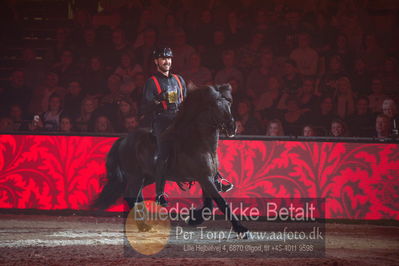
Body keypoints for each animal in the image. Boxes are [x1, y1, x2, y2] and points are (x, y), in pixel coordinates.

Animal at [93, 84, 248, 236]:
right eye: (215, 107)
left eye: (229, 104)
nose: (232, 128)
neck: (199, 143)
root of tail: (124, 139)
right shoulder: (204, 178)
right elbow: (221, 202)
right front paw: (241, 229)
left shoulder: (207, 178)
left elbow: (208, 205)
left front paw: (193, 218)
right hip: (135, 176)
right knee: (131, 196)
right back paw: (143, 224)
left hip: (146, 177)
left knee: (136, 196)